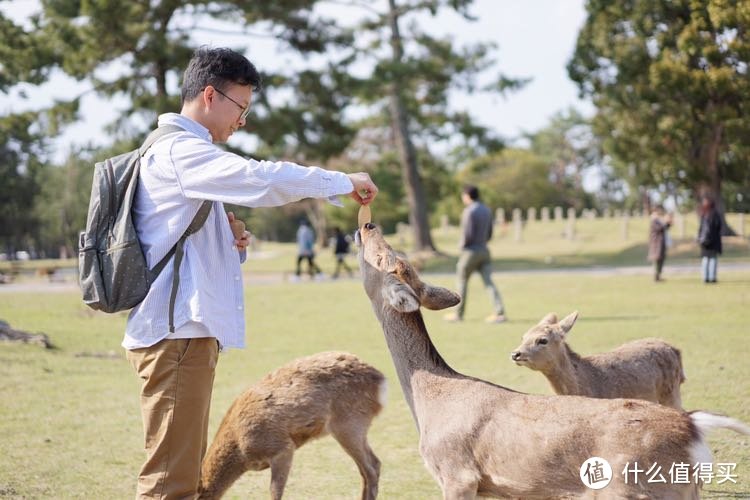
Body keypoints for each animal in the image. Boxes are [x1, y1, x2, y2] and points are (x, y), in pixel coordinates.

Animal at [198, 352, 388, 500]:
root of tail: (381, 382)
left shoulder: (281, 447)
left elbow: (275, 492)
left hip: (349, 422)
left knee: (370, 468)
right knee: (371, 466)